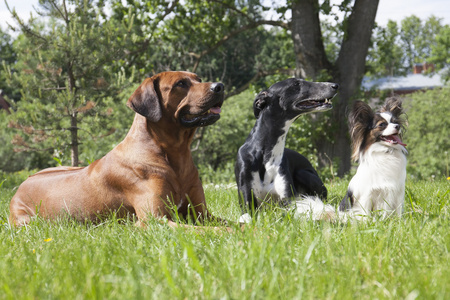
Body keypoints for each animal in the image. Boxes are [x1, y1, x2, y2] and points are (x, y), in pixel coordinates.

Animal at [9, 71, 229, 229]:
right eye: (181, 84)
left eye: (198, 79)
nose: (220, 86)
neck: (176, 153)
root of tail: (20, 187)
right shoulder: (154, 220)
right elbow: (212, 230)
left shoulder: (202, 214)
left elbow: (229, 222)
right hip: (27, 222)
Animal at [236, 78, 338, 223]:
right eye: (296, 84)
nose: (335, 85)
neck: (266, 154)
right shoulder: (247, 199)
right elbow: (247, 216)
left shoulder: (289, 199)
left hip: (303, 174)